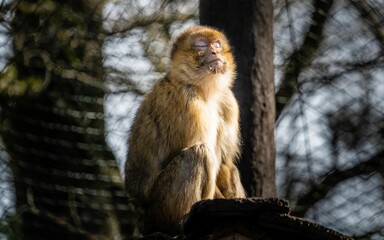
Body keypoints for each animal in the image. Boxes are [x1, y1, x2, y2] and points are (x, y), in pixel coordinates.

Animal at [126, 25, 246, 235]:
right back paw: (181, 223)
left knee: (228, 166)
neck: (204, 90)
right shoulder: (186, 103)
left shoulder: (228, 102)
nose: (215, 52)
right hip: (160, 208)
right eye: (201, 45)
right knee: (198, 153)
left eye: (217, 45)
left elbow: (224, 162)